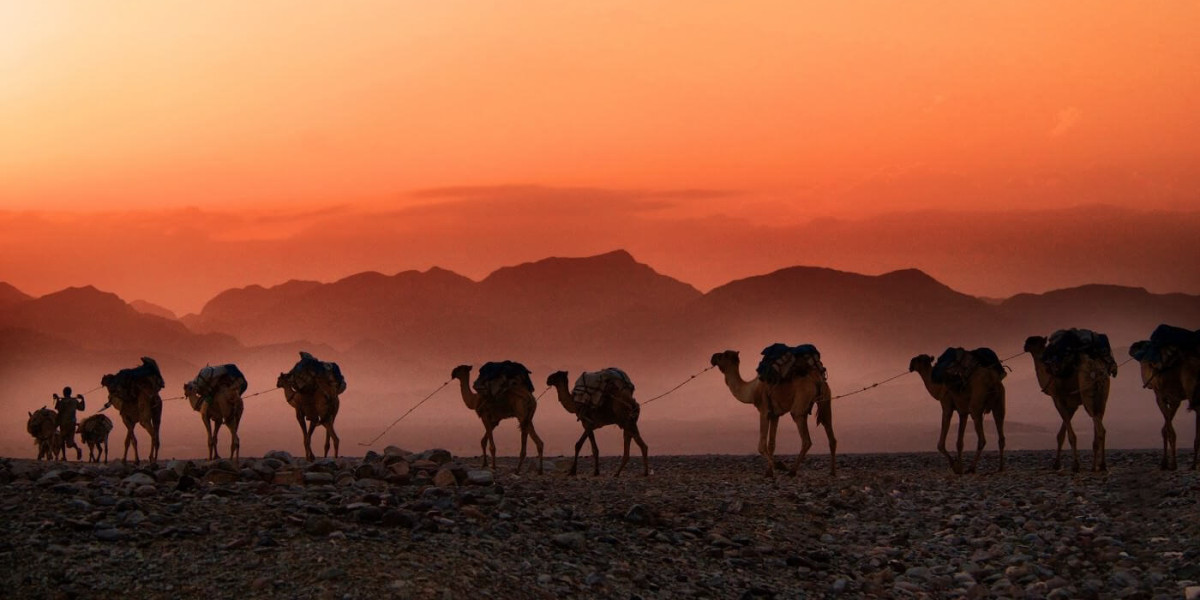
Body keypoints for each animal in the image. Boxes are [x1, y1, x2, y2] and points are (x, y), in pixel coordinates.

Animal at [1025, 335, 1114, 472]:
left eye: (1032, 341)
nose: (1025, 345)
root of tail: (1098, 370)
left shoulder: (1058, 399)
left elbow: (1070, 434)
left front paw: (1075, 465)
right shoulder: (1073, 405)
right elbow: (1061, 434)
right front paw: (1057, 464)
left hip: (1088, 396)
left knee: (1100, 429)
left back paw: (1102, 465)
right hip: (1102, 399)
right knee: (1098, 421)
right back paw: (1096, 466)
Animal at [1130, 337, 1200, 470]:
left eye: (1143, 346)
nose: (1133, 345)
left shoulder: (1162, 397)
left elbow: (1169, 430)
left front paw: (1171, 464)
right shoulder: (1175, 400)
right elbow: (1165, 429)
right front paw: (1165, 462)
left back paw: (1194, 464)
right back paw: (1194, 464)